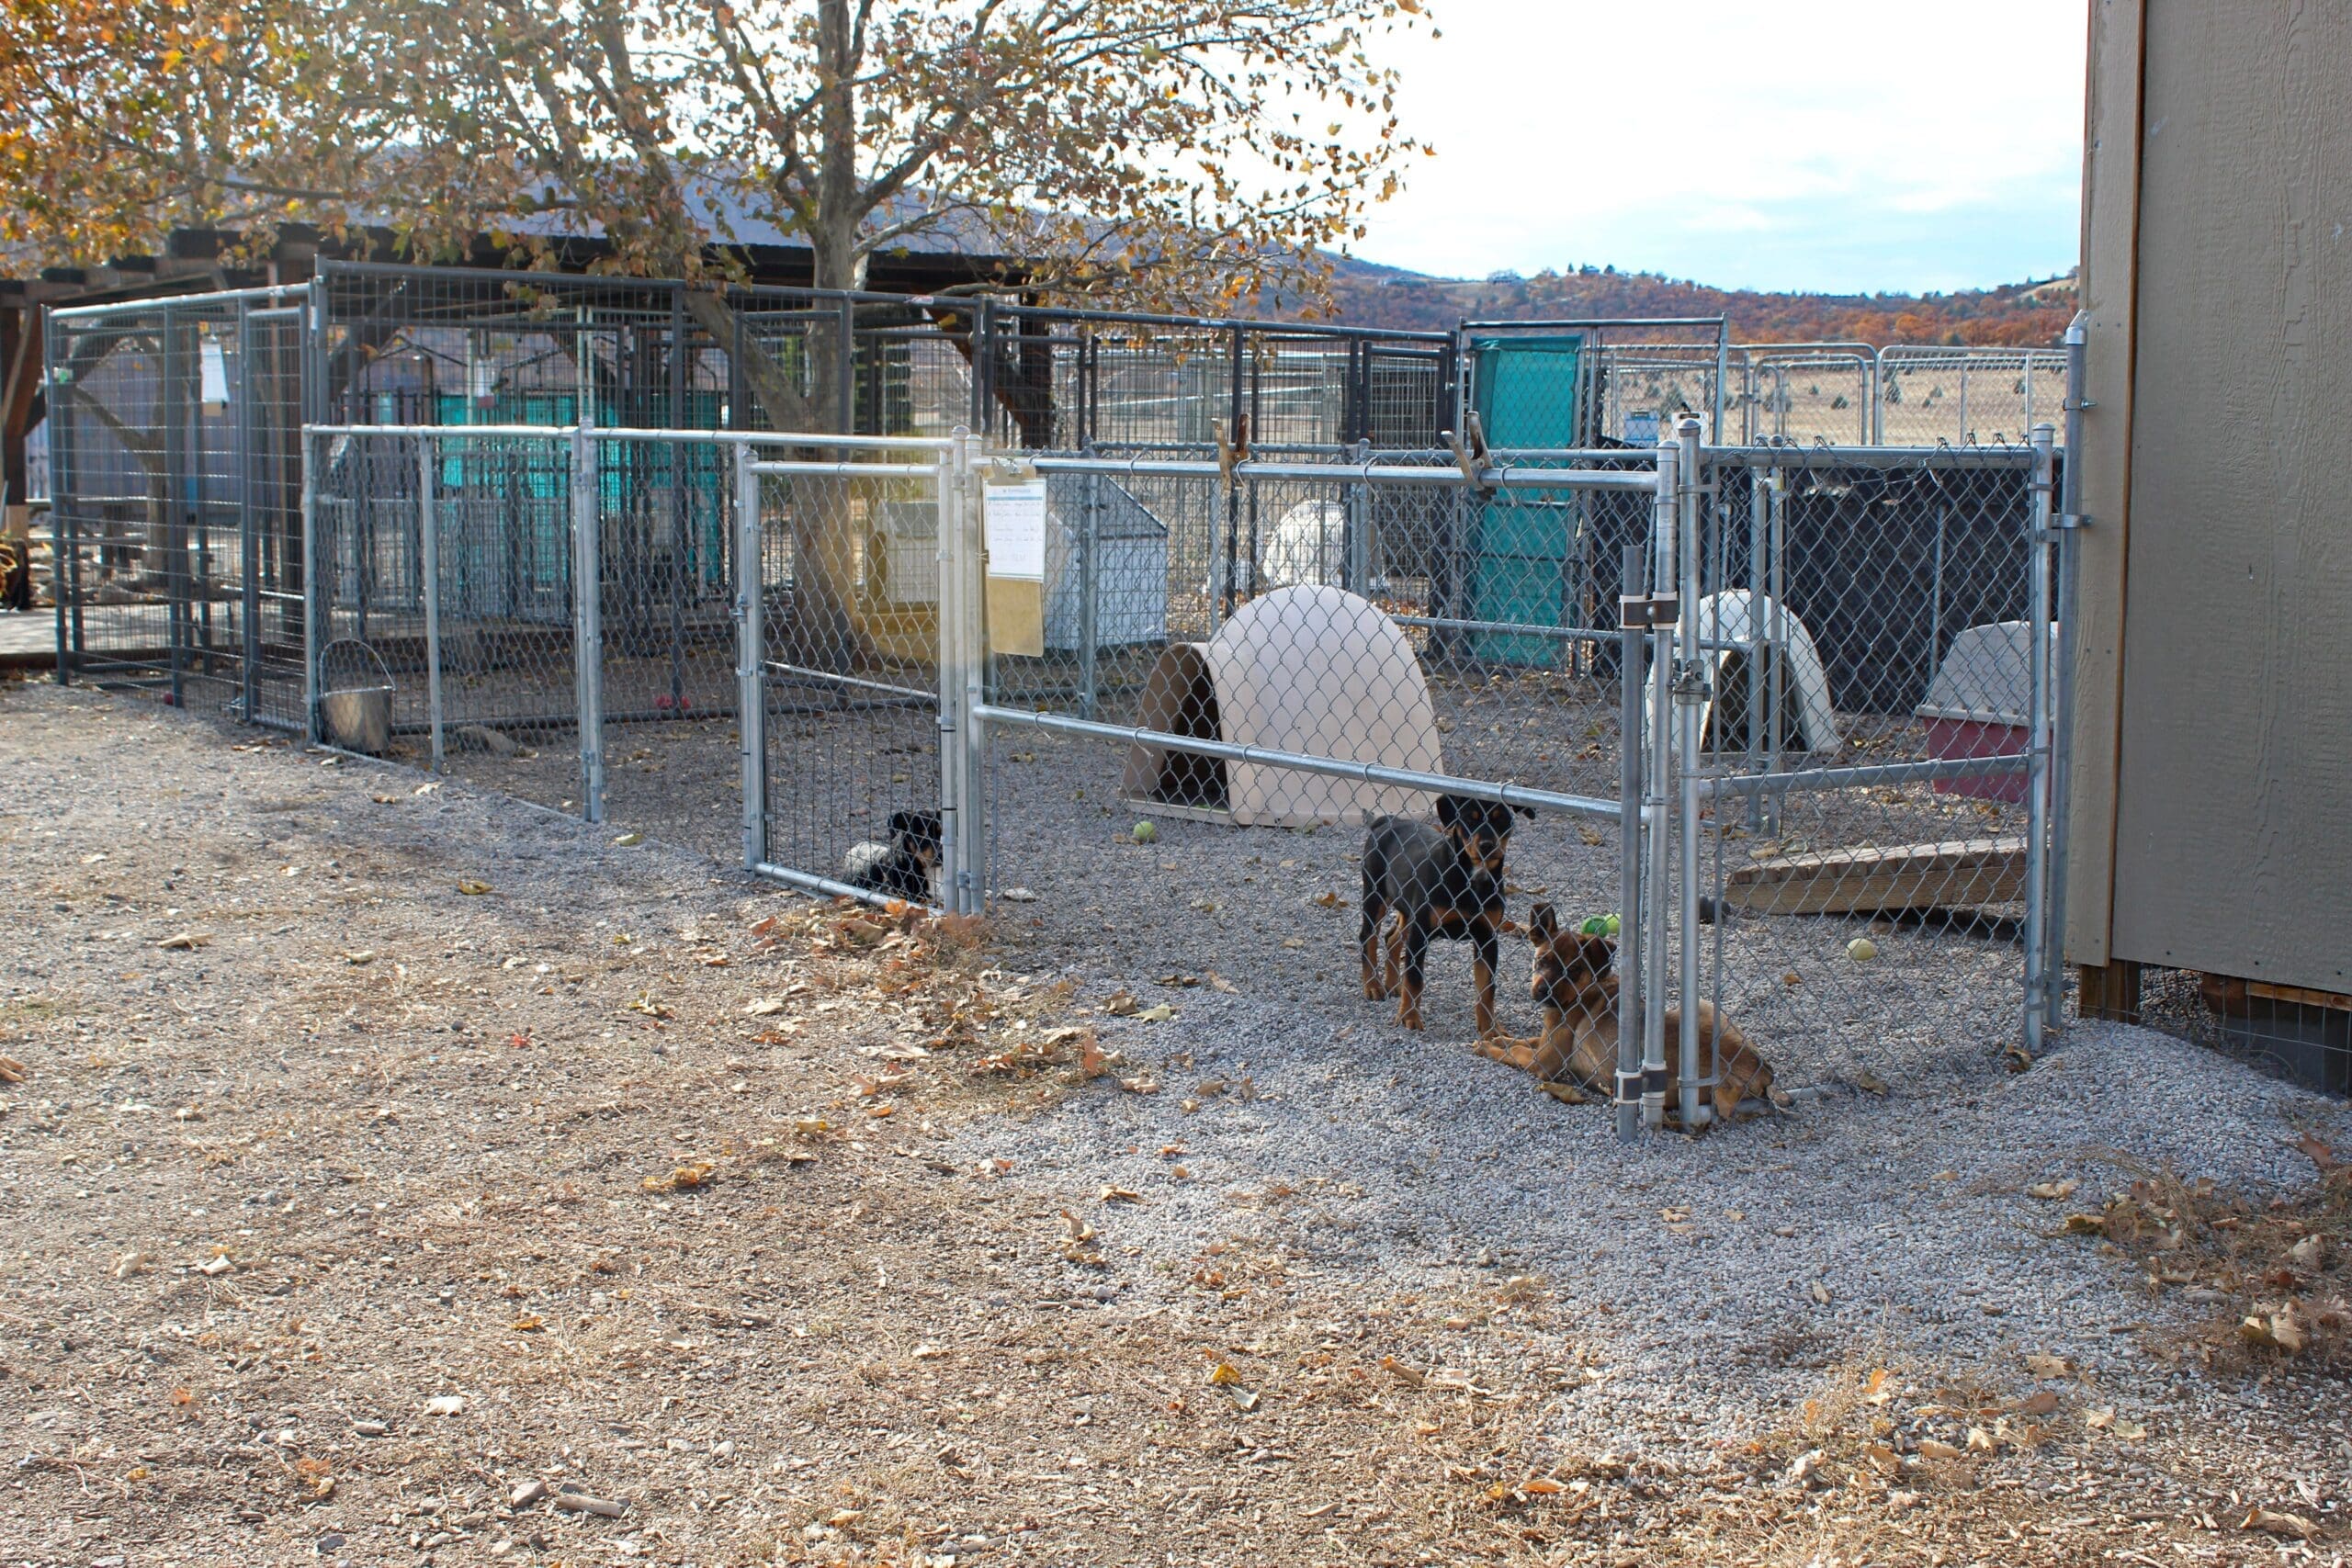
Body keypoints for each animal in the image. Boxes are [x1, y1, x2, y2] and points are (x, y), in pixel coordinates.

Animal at [1363, 799, 1523, 1043]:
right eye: (1469, 820)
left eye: (1502, 819)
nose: (1487, 846)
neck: (1472, 878)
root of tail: (1389, 821)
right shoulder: (1421, 933)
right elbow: (1415, 978)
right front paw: (1409, 1018)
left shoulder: (1487, 938)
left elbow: (1487, 989)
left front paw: (1490, 1030)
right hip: (1375, 895)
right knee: (1368, 937)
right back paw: (1373, 986)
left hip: (1407, 908)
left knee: (1391, 938)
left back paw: (1392, 984)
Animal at [1476, 893, 1769, 1128]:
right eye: (1542, 961)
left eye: (1574, 970)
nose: (1543, 992)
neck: (1586, 989)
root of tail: (1762, 1070)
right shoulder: (1545, 1039)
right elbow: (1521, 1040)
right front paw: (1497, 1038)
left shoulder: (1543, 1061)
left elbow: (1515, 1052)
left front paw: (1486, 1047)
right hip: (1703, 1005)